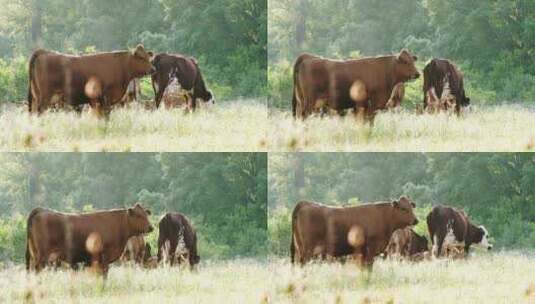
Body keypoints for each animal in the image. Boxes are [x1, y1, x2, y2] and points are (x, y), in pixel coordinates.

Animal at [26, 203, 154, 274]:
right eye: (138, 215)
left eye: (146, 214)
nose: (151, 227)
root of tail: (42, 210)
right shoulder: (104, 256)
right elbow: (104, 275)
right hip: (42, 256)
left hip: (34, 255)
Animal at [27, 44, 155, 116]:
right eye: (141, 57)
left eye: (148, 57)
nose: (153, 69)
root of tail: (44, 52)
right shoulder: (106, 97)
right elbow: (106, 116)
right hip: (44, 97)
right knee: (40, 112)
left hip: (36, 97)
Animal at [292, 49, 420, 121]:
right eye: (405, 62)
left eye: (413, 61)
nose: (417, 73)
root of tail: (309, 57)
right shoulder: (370, 105)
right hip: (309, 102)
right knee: (304, 117)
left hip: (301, 101)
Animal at [292, 195, 420, 268]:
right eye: (403, 208)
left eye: (411, 207)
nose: (416, 220)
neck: (383, 217)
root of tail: (306, 203)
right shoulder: (370, 249)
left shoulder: (362, 252)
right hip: (307, 250)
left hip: (300, 248)